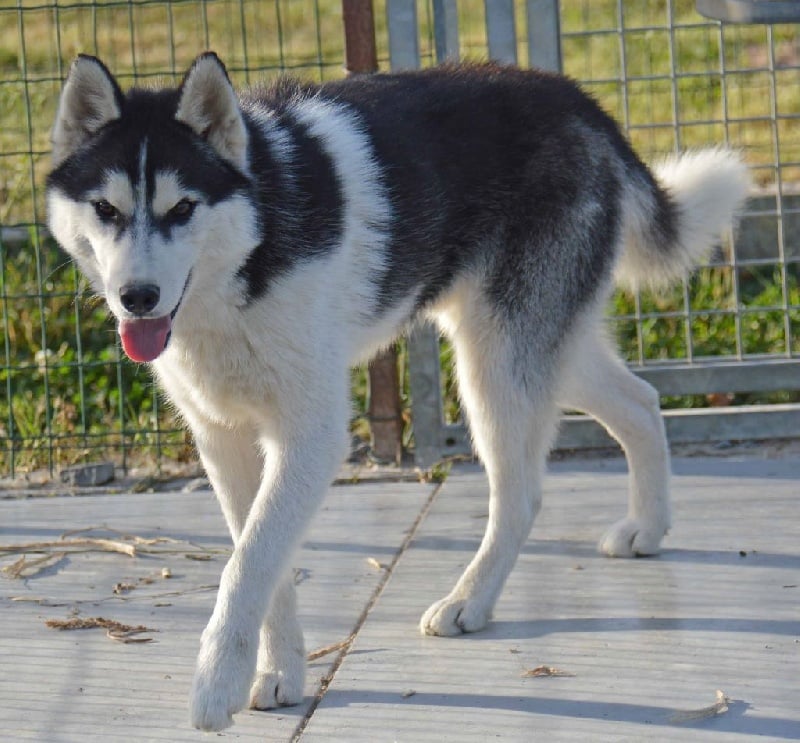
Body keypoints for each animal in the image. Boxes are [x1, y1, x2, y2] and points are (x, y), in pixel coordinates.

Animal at [47, 55, 752, 728]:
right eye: (106, 210)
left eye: (182, 209)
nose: (137, 297)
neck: (253, 248)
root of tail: (573, 96)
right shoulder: (225, 442)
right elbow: (262, 559)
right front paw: (279, 670)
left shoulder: (310, 437)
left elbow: (247, 564)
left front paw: (216, 685)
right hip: (540, 347)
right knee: (642, 403)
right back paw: (648, 527)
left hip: (495, 363)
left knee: (522, 493)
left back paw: (471, 599)